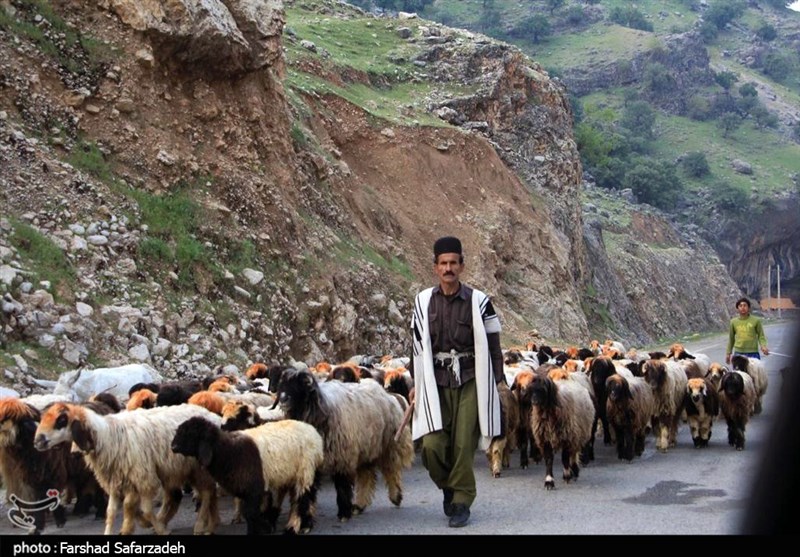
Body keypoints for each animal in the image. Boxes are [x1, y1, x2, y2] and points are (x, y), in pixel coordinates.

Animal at [33, 403, 221, 535]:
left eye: (61, 420)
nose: (37, 441)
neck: (109, 436)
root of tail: (212, 416)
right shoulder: (117, 480)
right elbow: (112, 511)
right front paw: (126, 528)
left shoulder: (141, 477)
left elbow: (140, 508)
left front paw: (158, 529)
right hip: (172, 469)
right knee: (177, 496)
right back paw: (207, 521)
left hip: (198, 469)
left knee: (207, 493)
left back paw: (200, 525)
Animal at [171, 416, 323, 535]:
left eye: (190, 434)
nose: (173, 447)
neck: (227, 452)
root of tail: (314, 433)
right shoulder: (249, 489)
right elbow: (250, 512)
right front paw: (264, 526)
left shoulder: (253, 488)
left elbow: (250, 513)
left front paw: (258, 530)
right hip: (288, 475)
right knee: (298, 497)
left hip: (305, 471)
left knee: (302, 499)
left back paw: (297, 526)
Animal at [272, 367, 414, 521]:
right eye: (282, 384)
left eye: (300, 384)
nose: (283, 399)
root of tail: (384, 392)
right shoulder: (310, 459)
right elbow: (309, 488)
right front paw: (304, 515)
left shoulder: (343, 456)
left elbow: (342, 484)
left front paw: (344, 513)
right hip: (367, 447)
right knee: (367, 475)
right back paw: (359, 505)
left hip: (389, 444)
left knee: (390, 470)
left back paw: (395, 496)